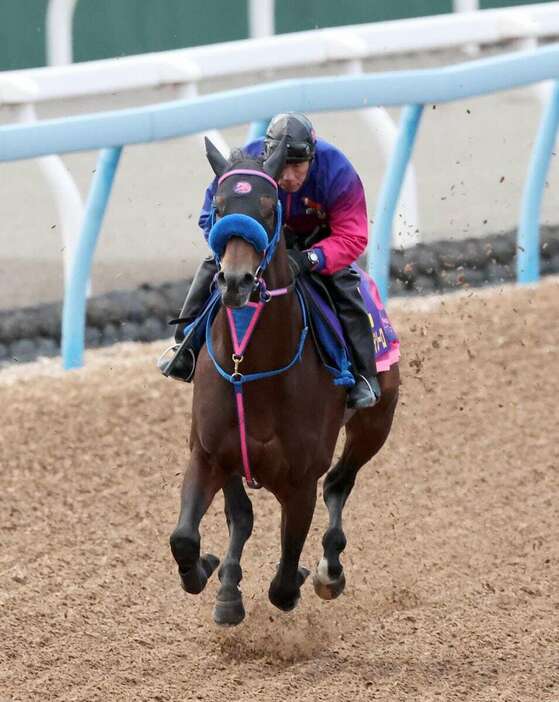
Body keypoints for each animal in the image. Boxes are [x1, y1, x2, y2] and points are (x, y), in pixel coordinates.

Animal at [168, 138, 400, 628]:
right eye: (218, 207)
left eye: (268, 207)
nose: (236, 281)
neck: (249, 366)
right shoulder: (209, 453)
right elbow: (186, 538)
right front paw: (211, 574)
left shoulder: (300, 481)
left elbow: (284, 578)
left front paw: (301, 578)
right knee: (242, 515)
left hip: (375, 424)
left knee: (339, 483)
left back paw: (329, 571)